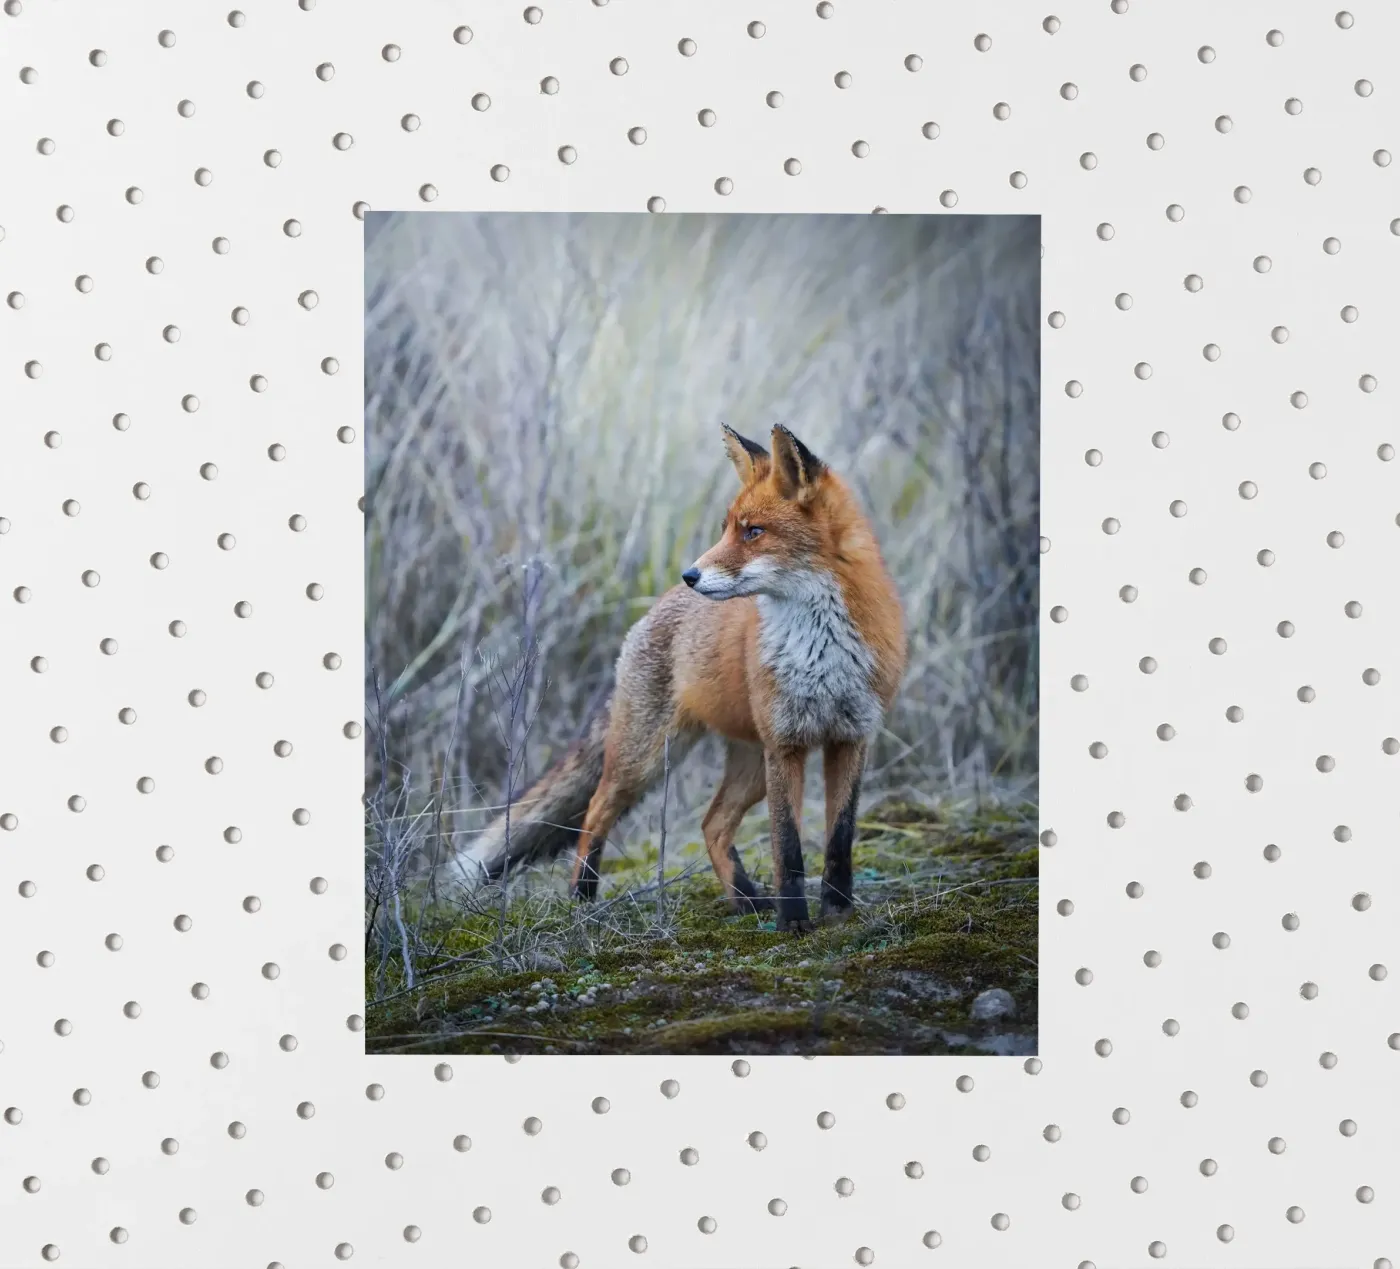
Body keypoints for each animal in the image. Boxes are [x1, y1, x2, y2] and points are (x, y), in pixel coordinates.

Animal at [462, 423, 907, 932]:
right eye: (727, 528)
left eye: (754, 531)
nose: (690, 574)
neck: (821, 649)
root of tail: (655, 607)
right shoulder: (786, 745)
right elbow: (788, 849)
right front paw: (794, 923)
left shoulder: (851, 738)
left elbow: (839, 840)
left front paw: (837, 912)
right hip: (648, 758)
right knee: (596, 811)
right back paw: (582, 898)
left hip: (751, 766)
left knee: (712, 823)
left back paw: (746, 901)